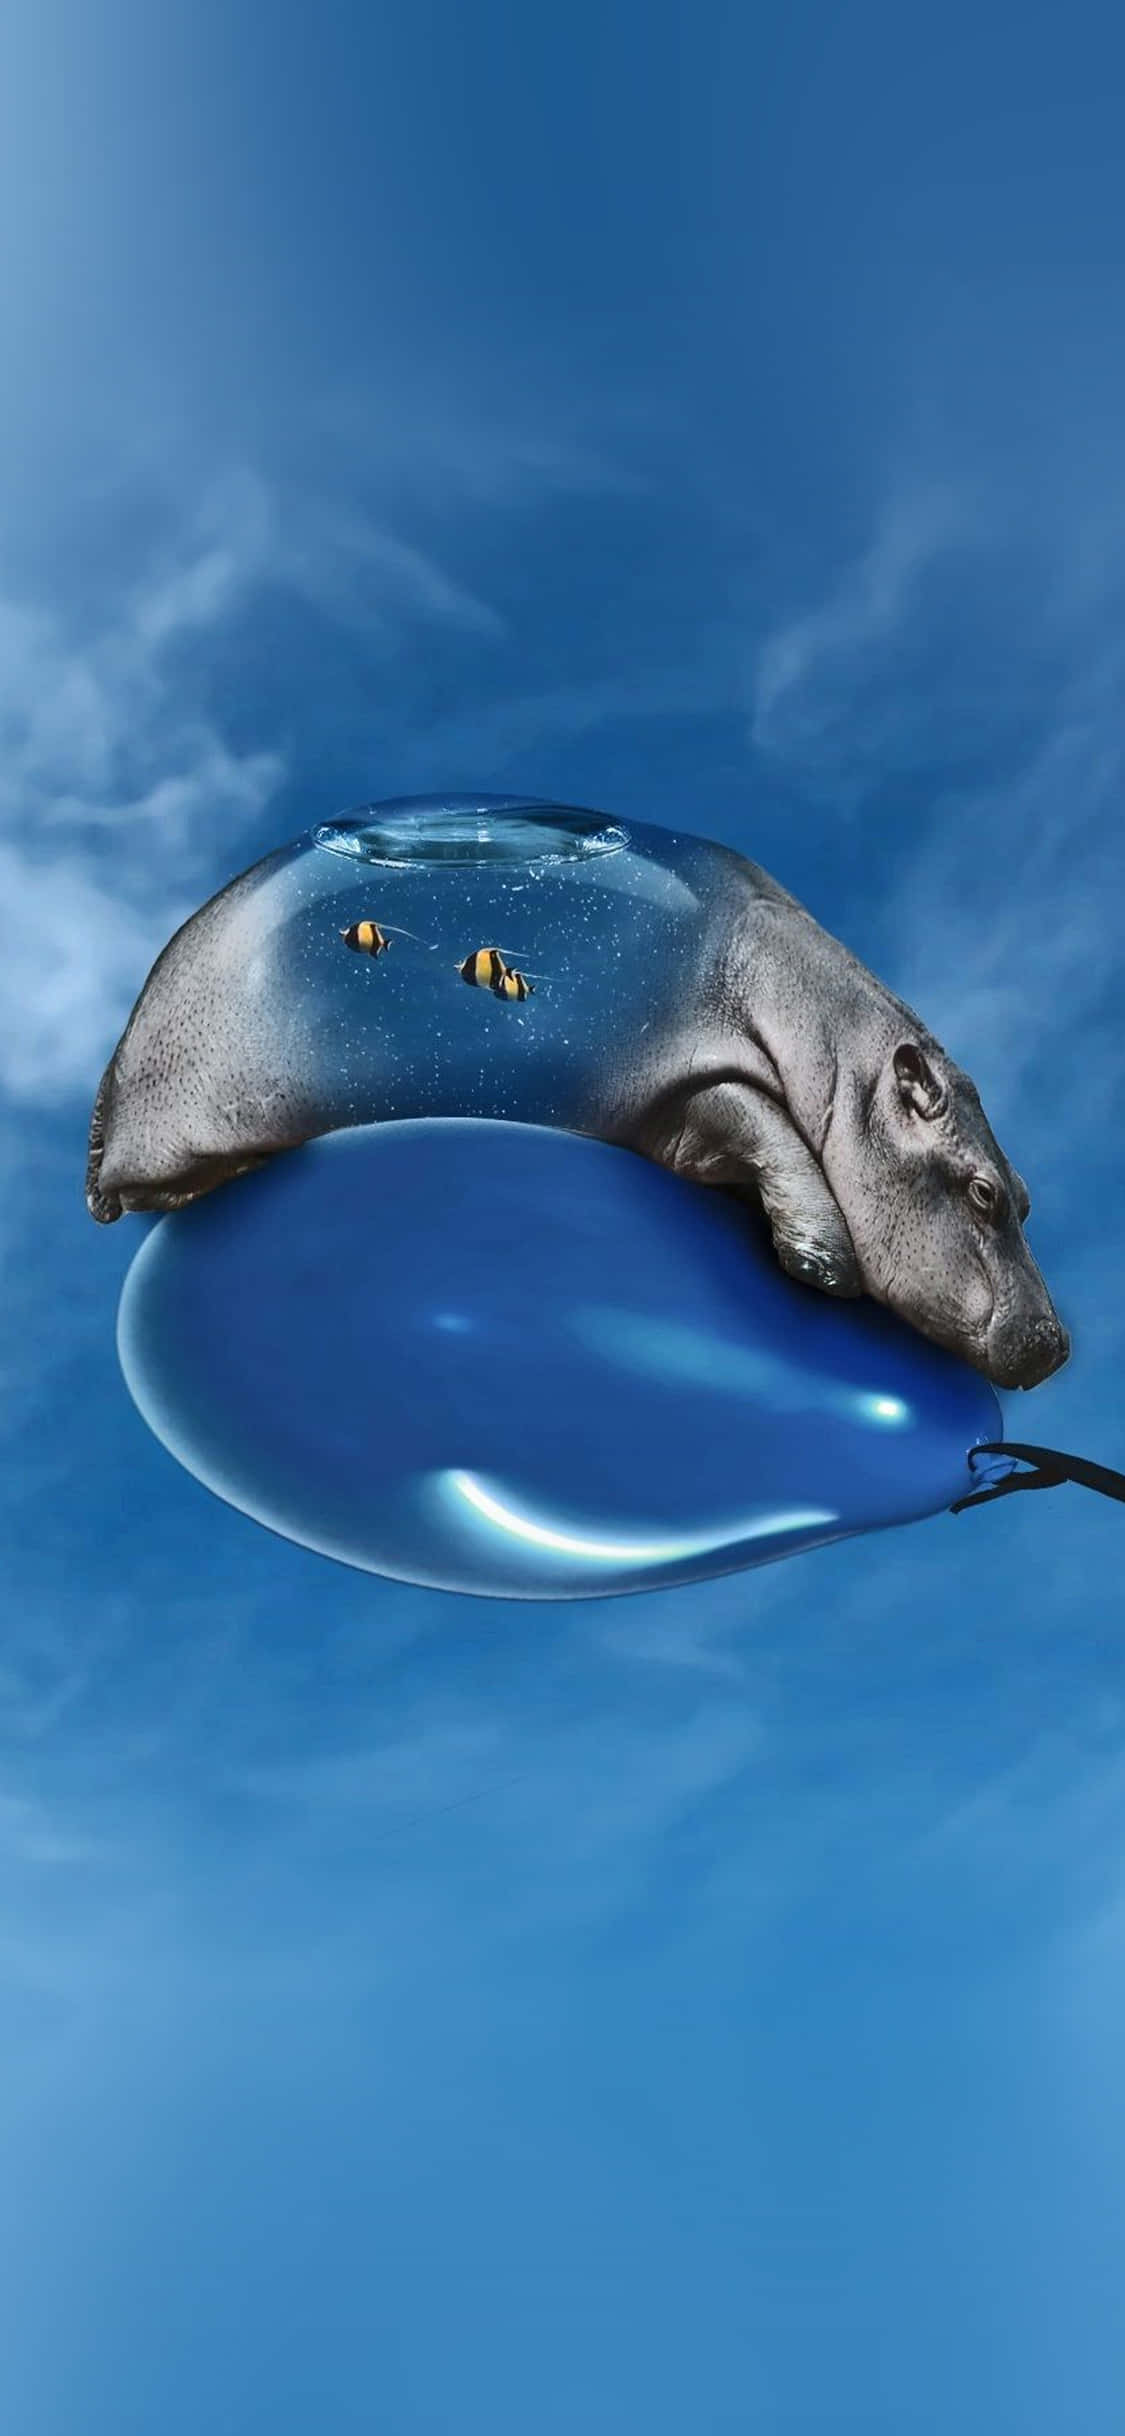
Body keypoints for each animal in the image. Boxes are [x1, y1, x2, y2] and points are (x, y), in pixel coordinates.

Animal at [85, 793, 1069, 1391]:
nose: (1057, 1345)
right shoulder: (693, 1078)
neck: (836, 1060)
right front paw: (824, 1264)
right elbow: (765, 1126)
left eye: (1025, 1194)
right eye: (981, 1192)